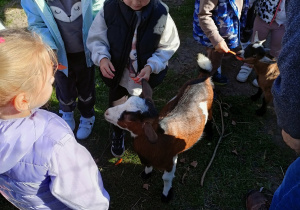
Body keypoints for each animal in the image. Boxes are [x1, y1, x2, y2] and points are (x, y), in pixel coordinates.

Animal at [103, 53, 213, 203]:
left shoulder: (170, 162)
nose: (107, 112)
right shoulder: (144, 156)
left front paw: (166, 195)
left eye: (129, 118)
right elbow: (147, 165)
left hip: (210, 106)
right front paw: (146, 174)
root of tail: (203, 77)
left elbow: (166, 178)